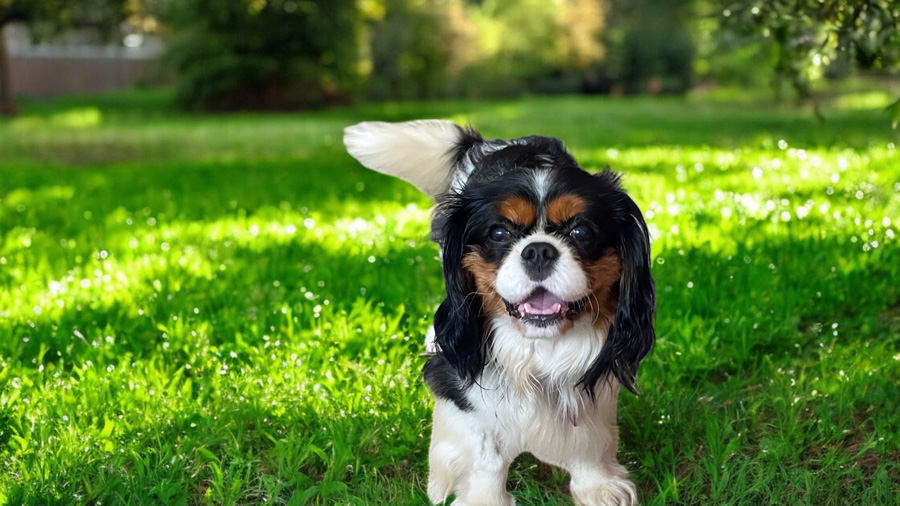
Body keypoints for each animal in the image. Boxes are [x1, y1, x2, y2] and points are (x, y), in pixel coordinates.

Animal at [344, 119, 652, 506]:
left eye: (581, 231)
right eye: (499, 233)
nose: (538, 250)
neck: (538, 346)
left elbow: (589, 435)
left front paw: (597, 486)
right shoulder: (462, 384)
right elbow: (483, 449)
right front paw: (484, 498)